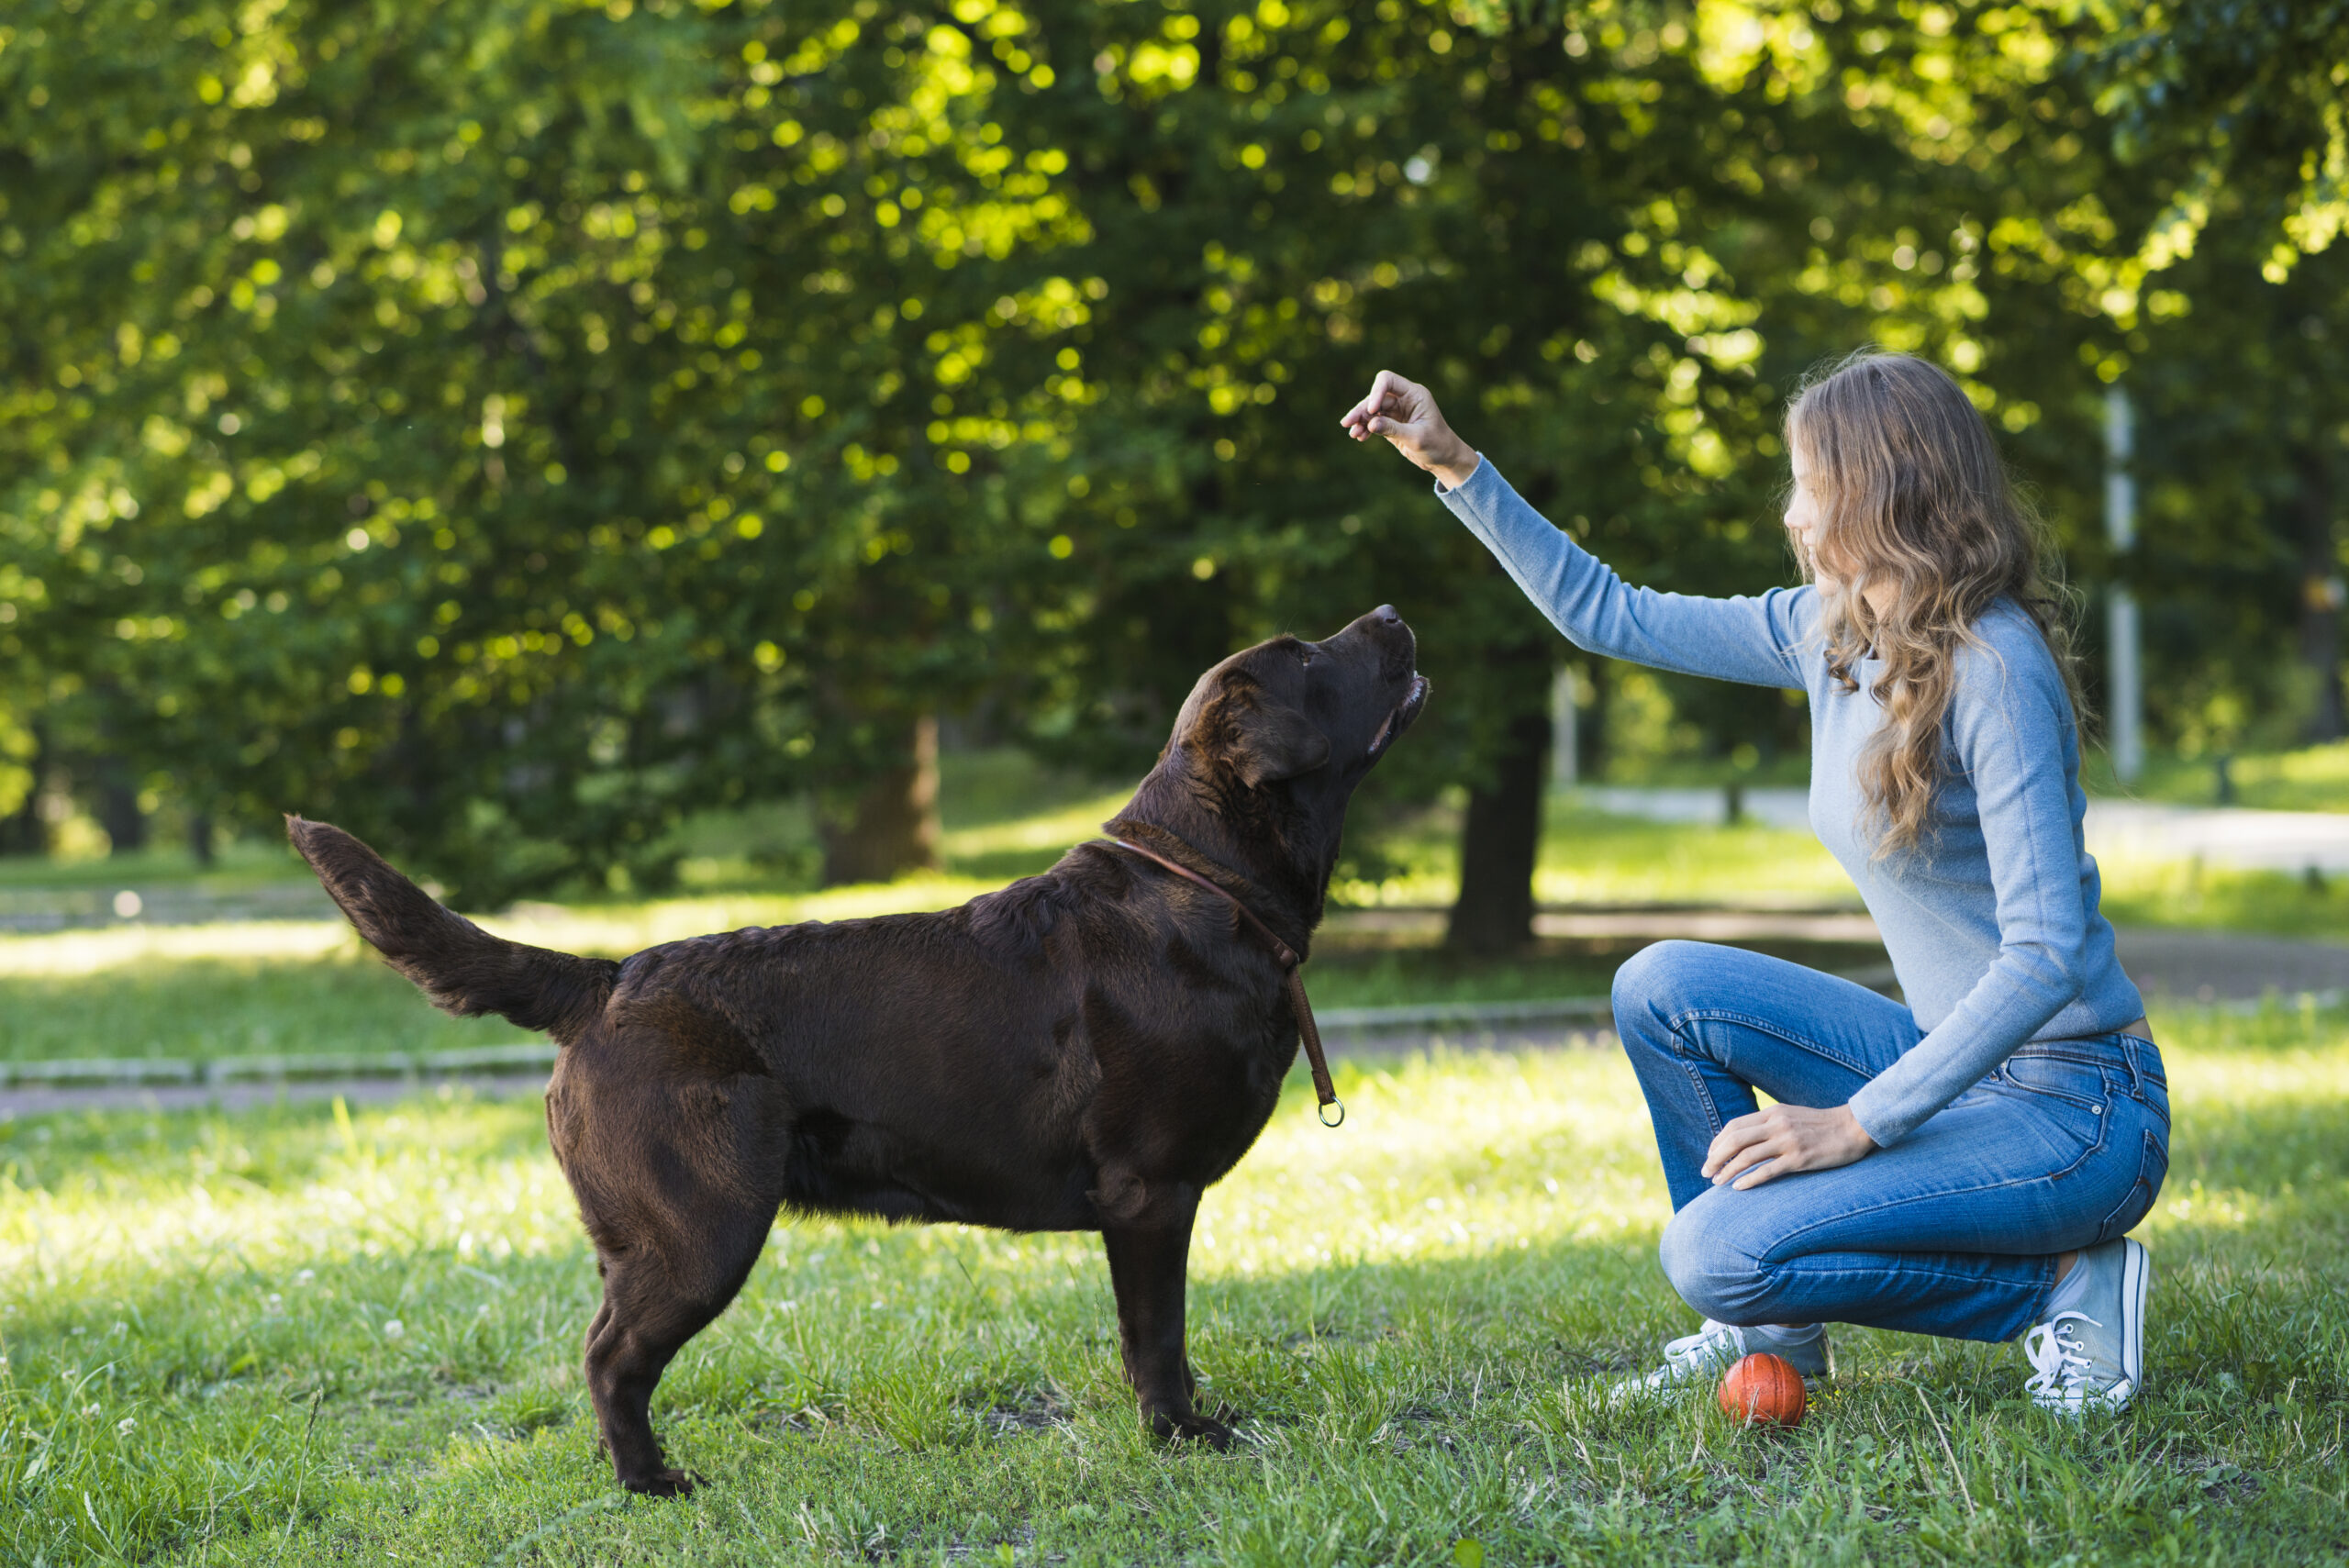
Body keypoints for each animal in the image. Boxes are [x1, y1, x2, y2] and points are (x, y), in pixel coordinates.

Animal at [294, 606, 1428, 1493]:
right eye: (1307, 655)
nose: (1388, 611)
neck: (1203, 884)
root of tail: (607, 977)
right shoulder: (1148, 1192)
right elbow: (1157, 1335)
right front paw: (1179, 1434)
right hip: (700, 1227)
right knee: (610, 1358)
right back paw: (653, 1481)